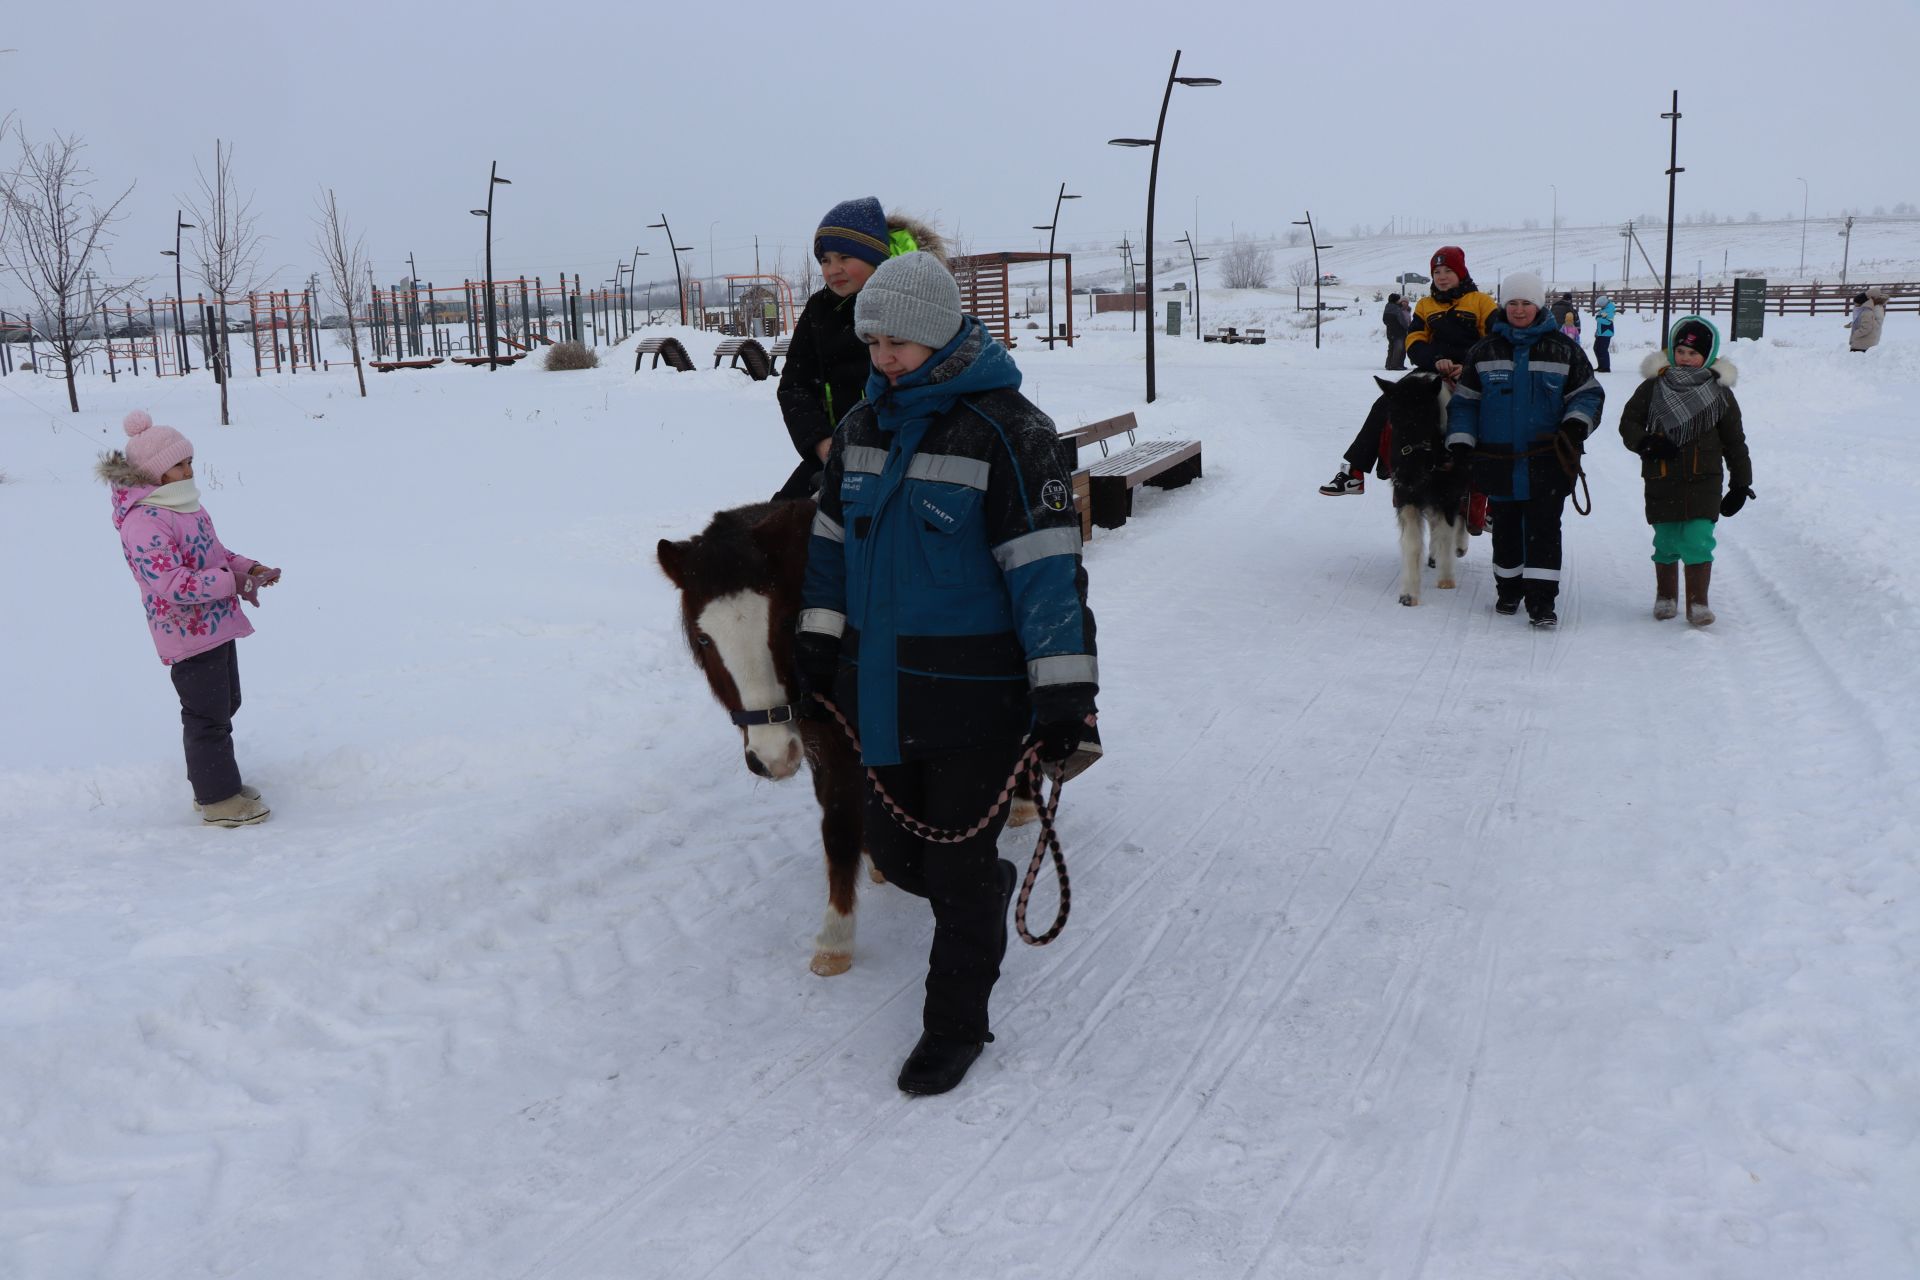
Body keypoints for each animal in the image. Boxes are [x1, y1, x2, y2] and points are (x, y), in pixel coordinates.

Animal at [660, 502, 871, 982]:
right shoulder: (819, 741)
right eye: (704, 638)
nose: (773, 757)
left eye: (785, 621)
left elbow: (839, 826)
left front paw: (835, 939)